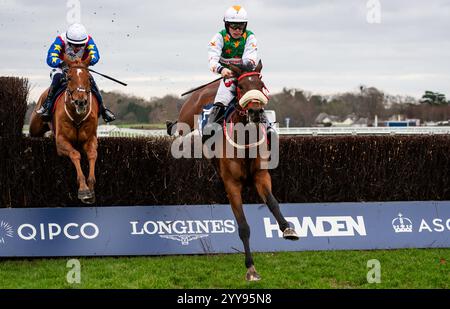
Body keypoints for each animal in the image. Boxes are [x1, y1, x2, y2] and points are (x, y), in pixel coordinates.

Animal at [30, 54, 100, 205]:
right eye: (69, 78)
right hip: (35, 127)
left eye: (88, 77)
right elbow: (75, 154)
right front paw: (83, 189)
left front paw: (91, 187)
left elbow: (92, 154)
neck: (77, 116)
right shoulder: (61, 142)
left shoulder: (91, 139)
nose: (81, 102)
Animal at [166, 59, 298, 280]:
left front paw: (287, 228)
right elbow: (243, 226)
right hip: (185, 122)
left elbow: (273, 203)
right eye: (241, 87)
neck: (245, 141)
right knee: (179, 133)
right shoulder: (232, 184)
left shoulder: (261, 176)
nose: (255, 112)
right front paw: (251, 268)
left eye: (261, 85)